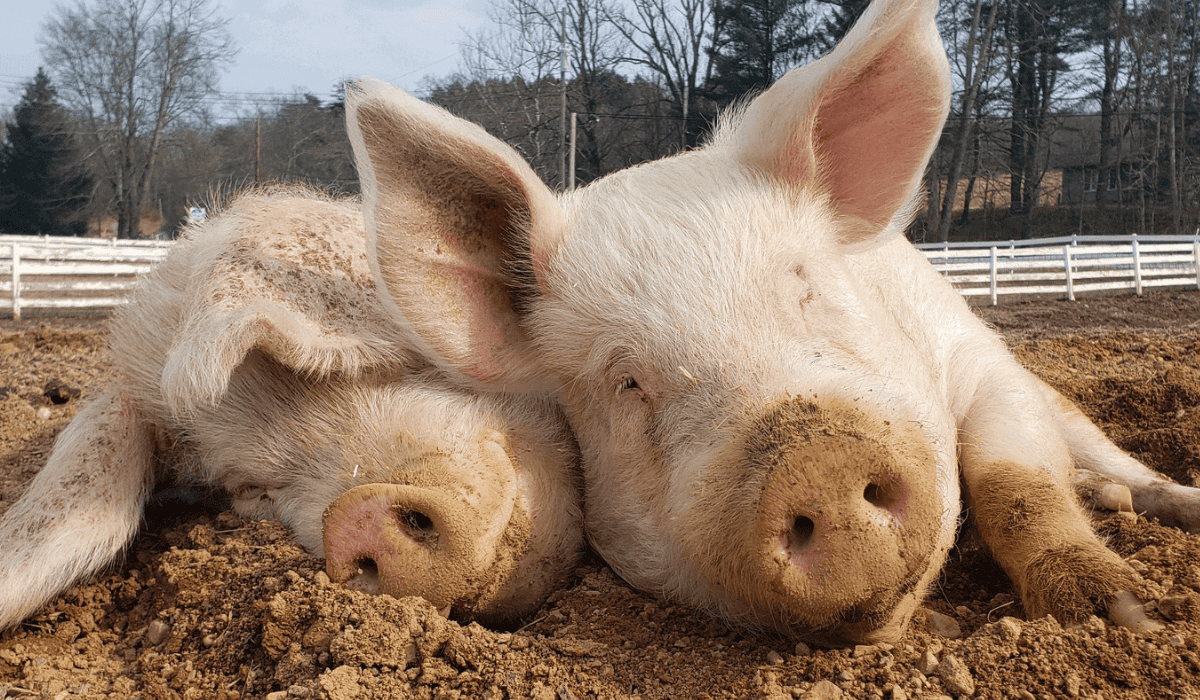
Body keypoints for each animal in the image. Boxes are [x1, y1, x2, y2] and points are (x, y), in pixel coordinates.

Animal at [332, 0, 1200, 645]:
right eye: (628, 382)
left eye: (807, 291)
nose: (820, 458)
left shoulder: (979, 362)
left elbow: (1015, 480)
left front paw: (1125, 616)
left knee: (1109, 460)